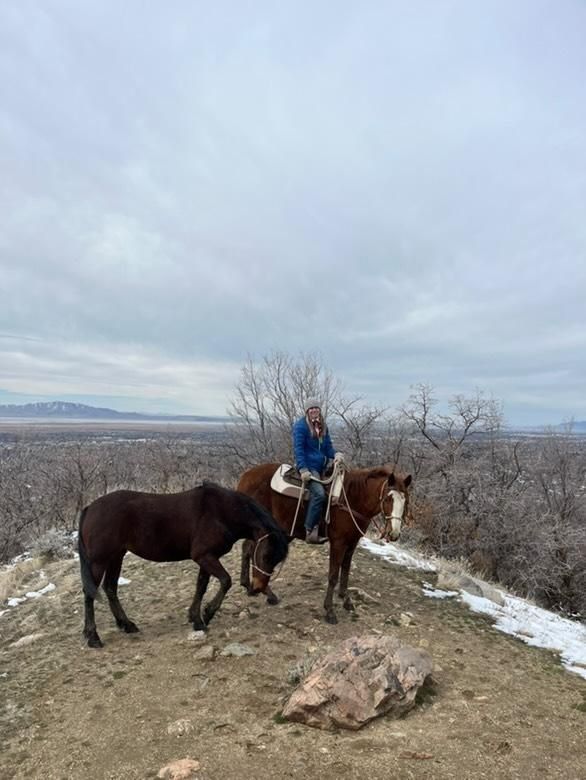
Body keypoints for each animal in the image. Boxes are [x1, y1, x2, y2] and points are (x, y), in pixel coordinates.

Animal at [78, 481, 289, 648]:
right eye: (265, 555)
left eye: (277, 559)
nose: (259, 587)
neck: (221, 511)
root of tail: (90, 508)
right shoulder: (205, 556)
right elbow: (225, 581)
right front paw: (208, 612)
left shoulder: (207, 558)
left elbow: (201, 586)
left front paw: (197, 619)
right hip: (99, 561)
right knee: (90, 593)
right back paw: (93, 637)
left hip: (116, 557)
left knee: (110, 588)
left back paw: (127, 625)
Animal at [237, 464, 412, 624]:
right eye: (388, 498)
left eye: (405, 500)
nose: (394, 534)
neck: (351, 499)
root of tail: (245, 476)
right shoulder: (338, 543)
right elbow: (333, 575)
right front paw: (330, 611)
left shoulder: (352, 543)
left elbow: (346, 570)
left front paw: (346, 600)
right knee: (252, 550)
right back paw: (264, 592)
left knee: (249, 549)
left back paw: (252, 588)